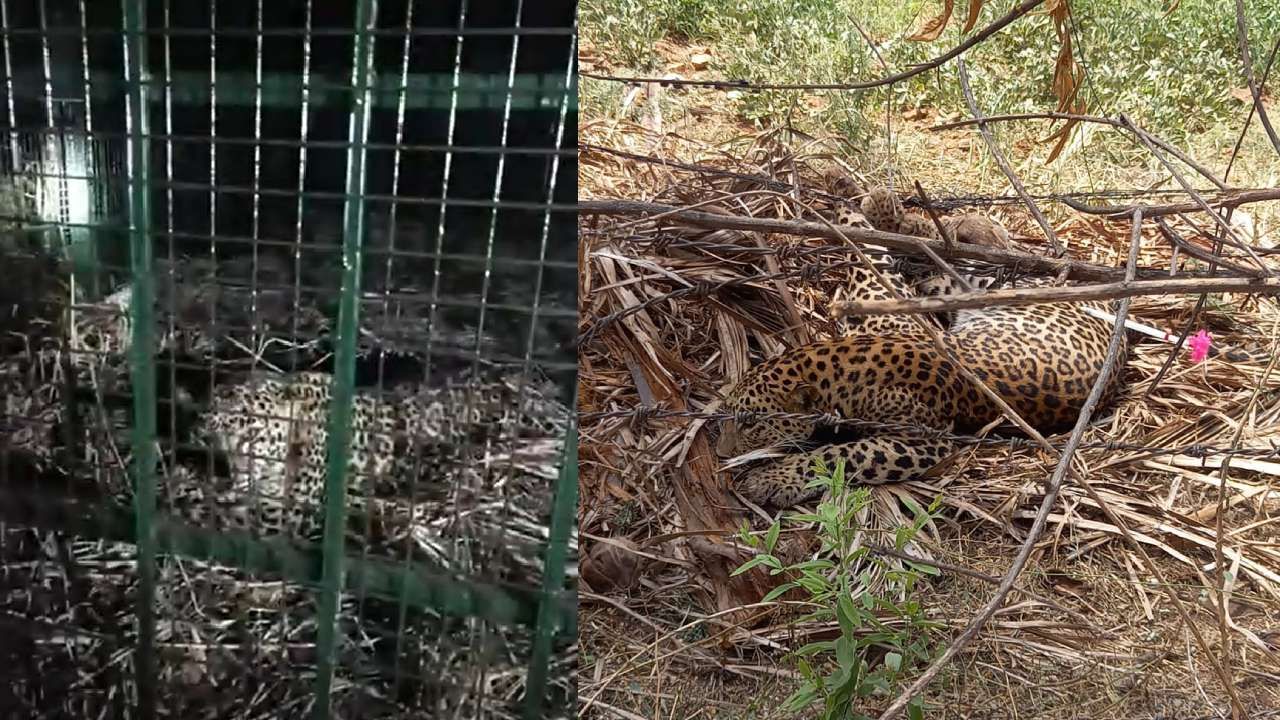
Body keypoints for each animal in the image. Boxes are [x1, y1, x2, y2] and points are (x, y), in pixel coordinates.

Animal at [721, 183, 1131, 504]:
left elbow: (845, 455)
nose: (726, 453)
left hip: (994, 286)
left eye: (751, 424)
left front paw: (774, 479)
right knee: (939, 256)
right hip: (966, 289)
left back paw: (881, 203)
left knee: (947, 255)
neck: (834, 365)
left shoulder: (926, 442)